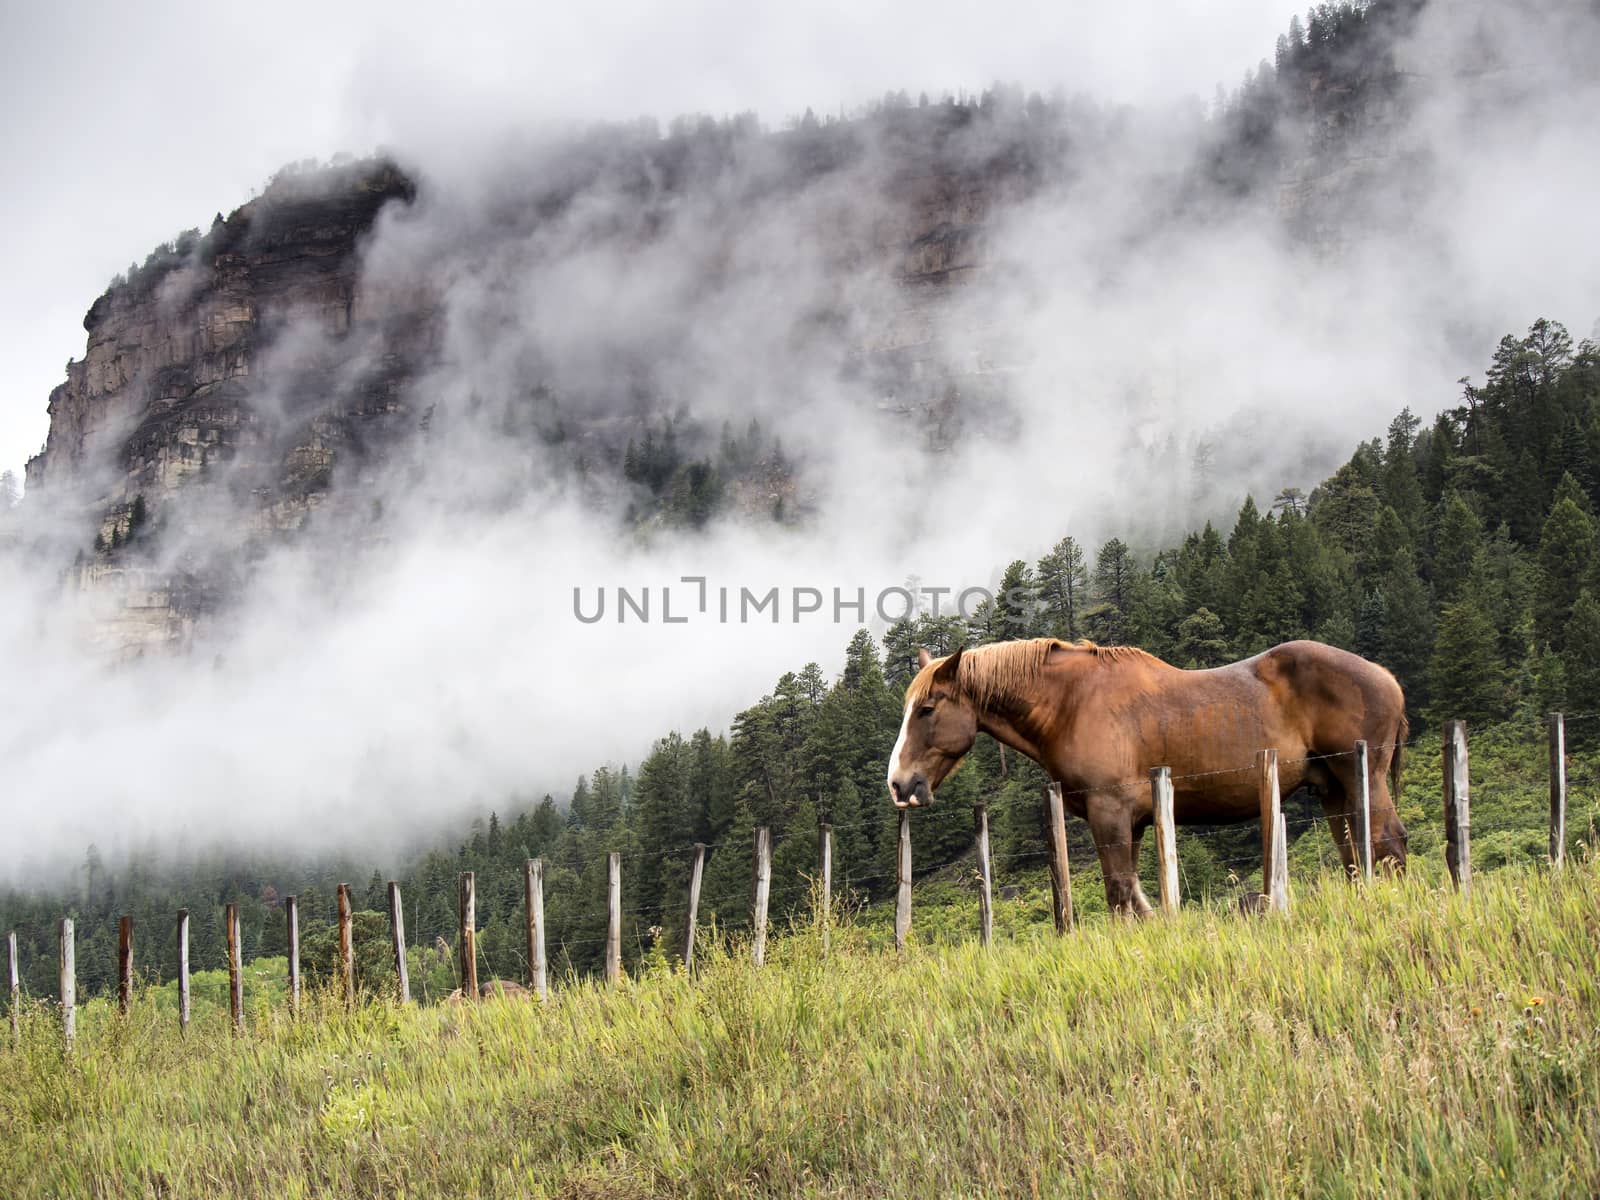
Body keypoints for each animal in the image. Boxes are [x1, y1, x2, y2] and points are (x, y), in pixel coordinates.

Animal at [889, 640, 1414, 908]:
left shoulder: (1111, 815)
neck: (1071, 705)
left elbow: (1121, 893)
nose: (899, 783)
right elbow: (1140, 895)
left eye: (928, 708)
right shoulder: (1135, 823)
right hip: (1333, 790)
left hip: (1362, 777)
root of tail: (1386, 676)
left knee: (1387, 841)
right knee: (1355, 853)